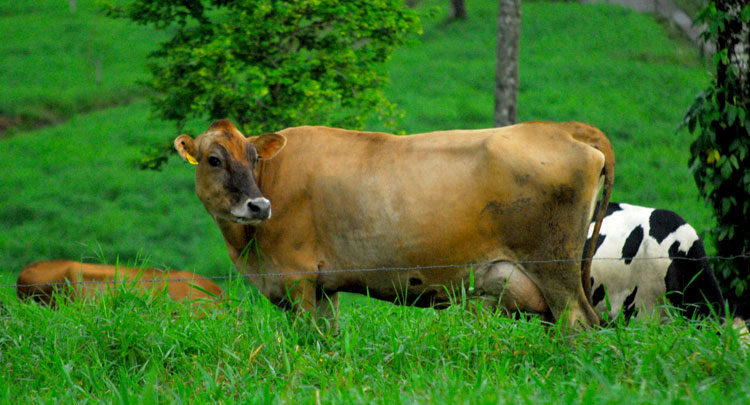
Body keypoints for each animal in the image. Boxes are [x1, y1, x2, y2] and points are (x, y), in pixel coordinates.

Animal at [176, 120, 616, 328]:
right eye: (214, 160)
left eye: (253, 158)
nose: (259, 205)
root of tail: (562, 128)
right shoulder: (323, 287)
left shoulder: (296, 278)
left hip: (554, 267)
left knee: (577, 323)